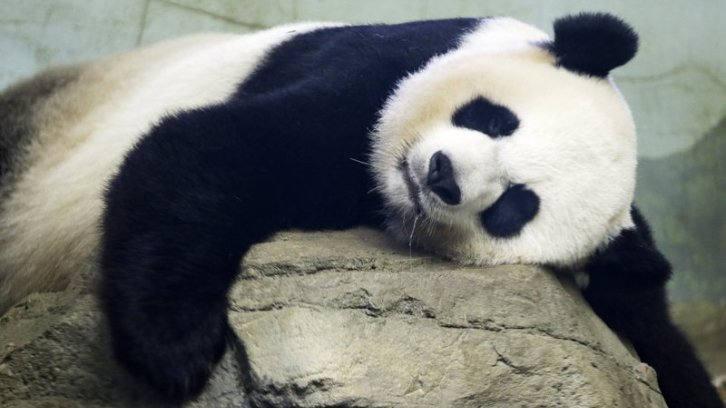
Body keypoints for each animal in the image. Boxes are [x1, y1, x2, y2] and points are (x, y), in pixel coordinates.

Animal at [0, 11, 724, 404]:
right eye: (494, 119)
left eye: (515, 207)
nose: (441, 176)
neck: (379, 189)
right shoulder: (378, 71)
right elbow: (210, 147)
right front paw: (173, 350)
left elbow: (653, 325)